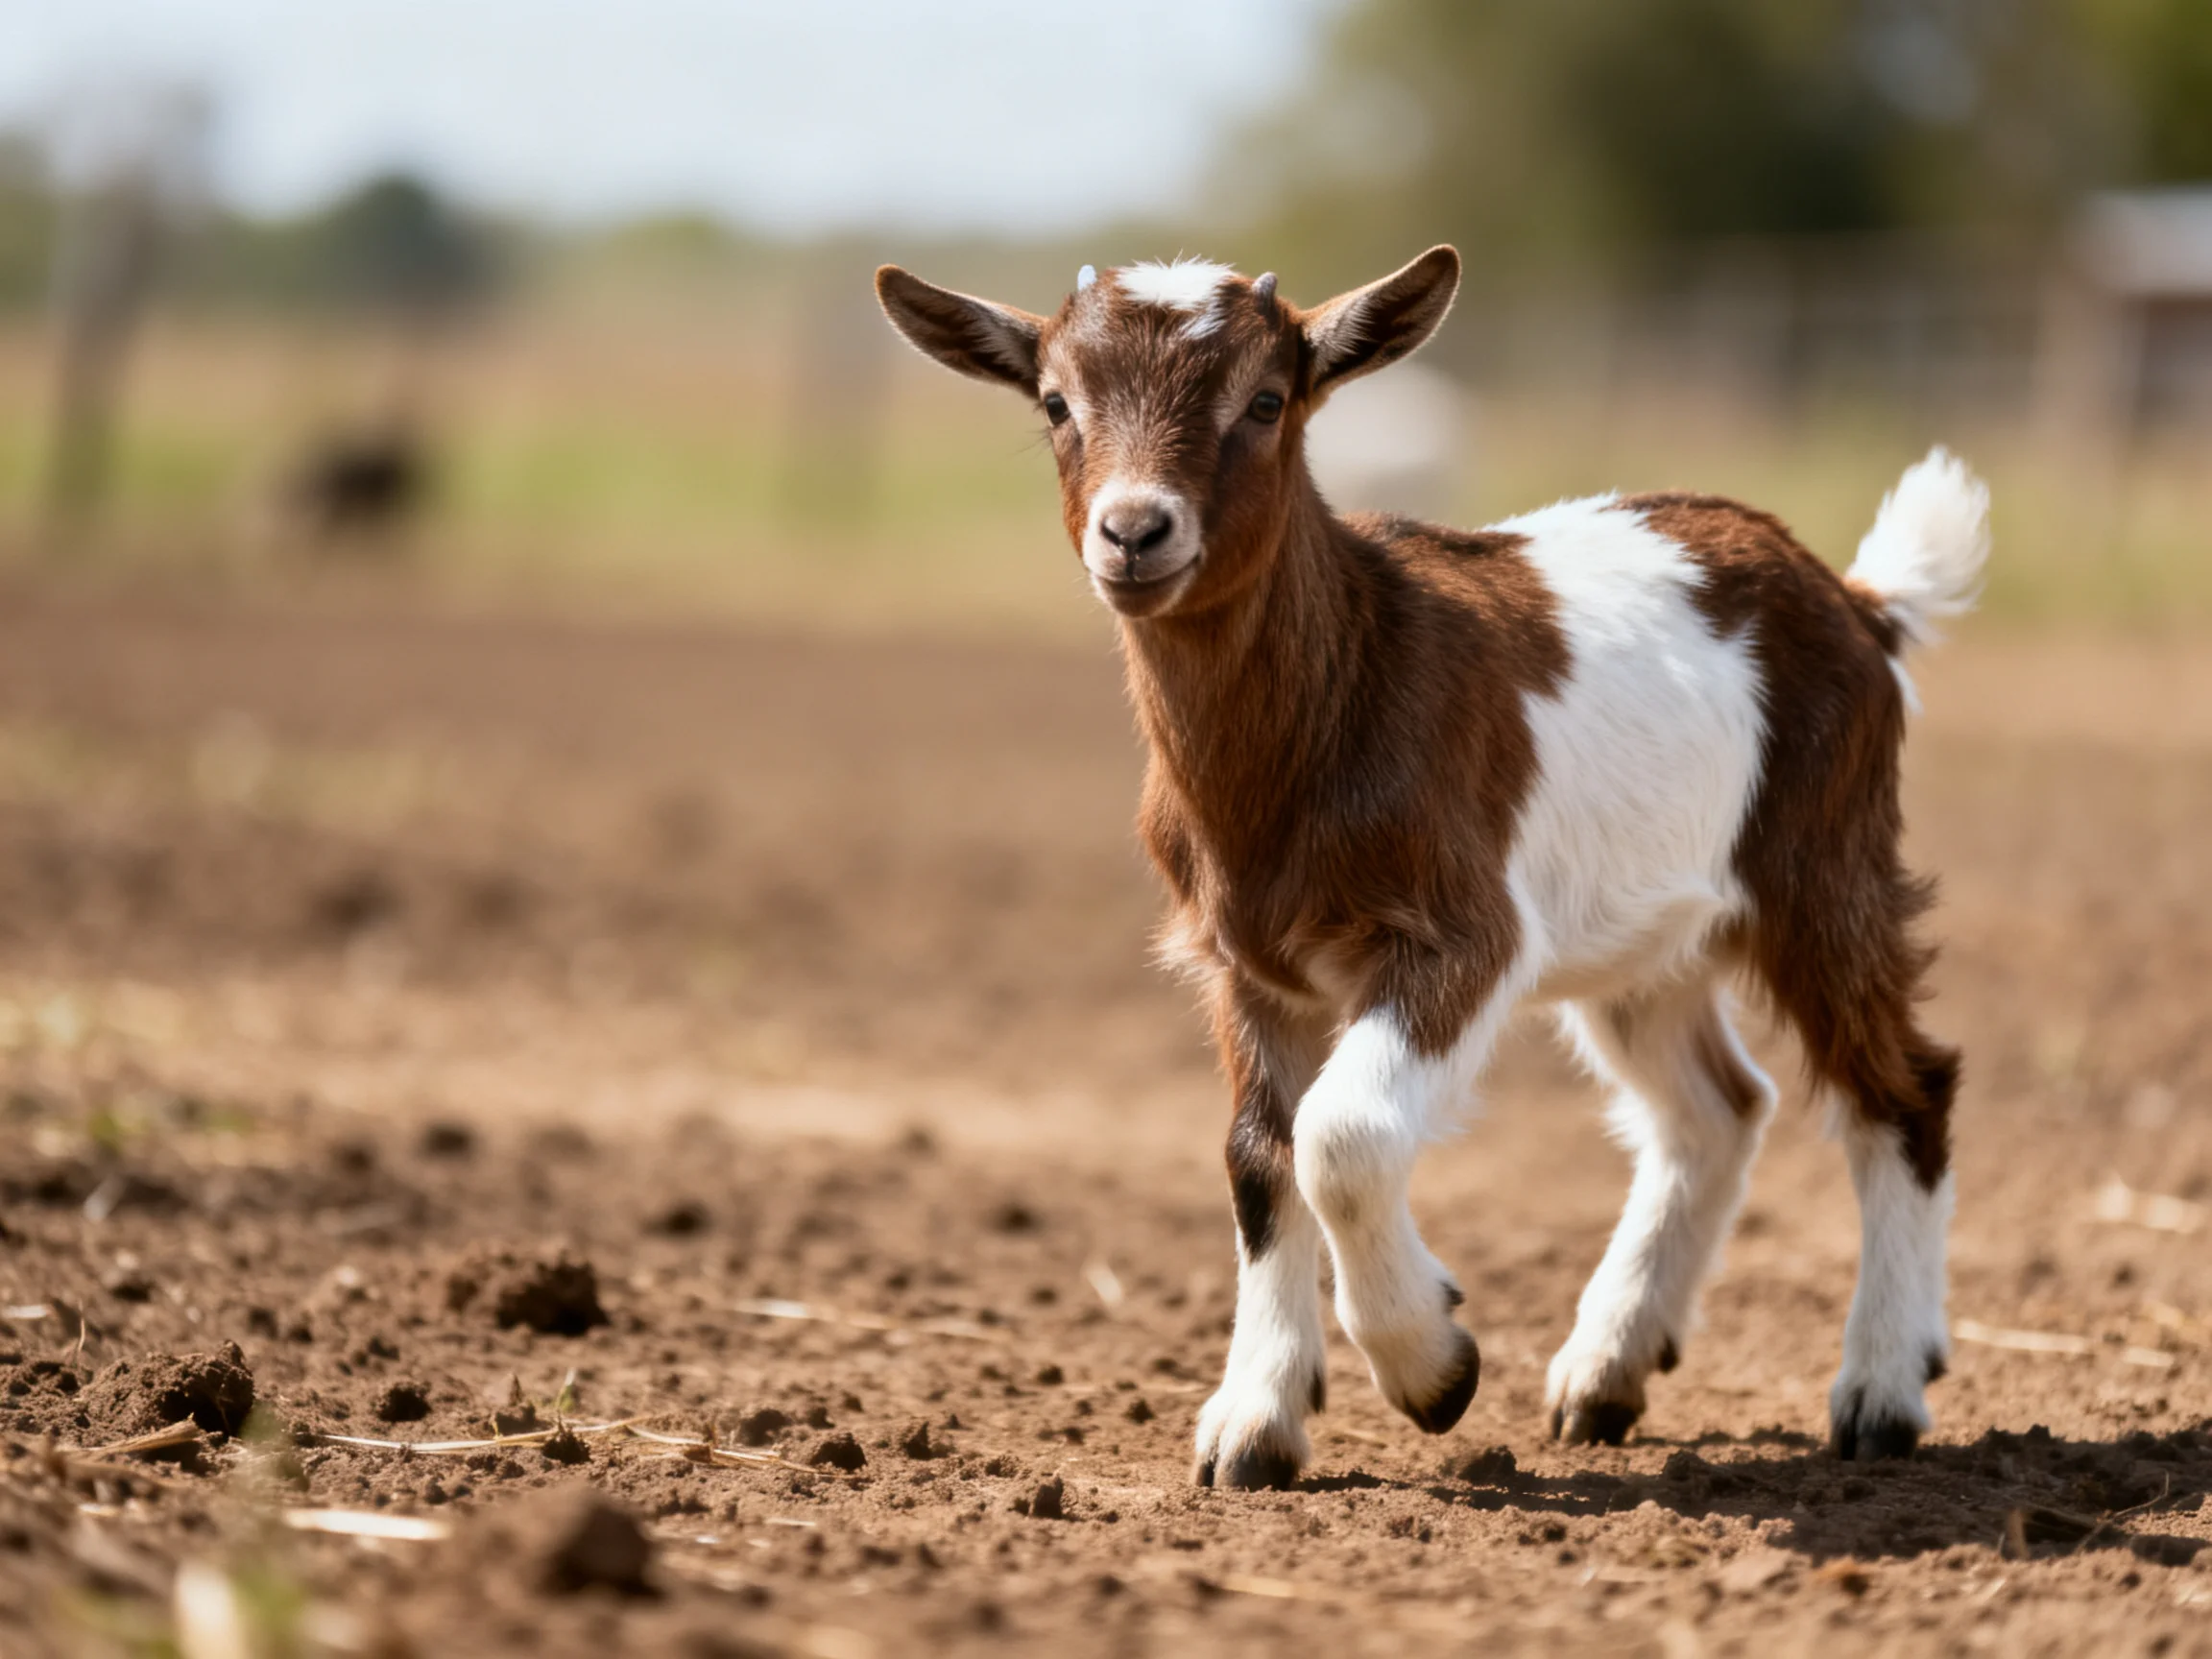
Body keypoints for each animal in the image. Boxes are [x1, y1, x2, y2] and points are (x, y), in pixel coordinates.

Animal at [875, 248, 1989, 1488]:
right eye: (1057, 405)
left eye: (1267, 400)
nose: (1133, 532)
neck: (1348, 676)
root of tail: (1858, 600)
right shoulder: (1246, 966)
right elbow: (1258, 1158)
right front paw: (1254, 1425)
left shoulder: (1462, 933)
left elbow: (1342, 1137)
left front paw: (1434, 1368)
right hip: (1645, 932)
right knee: (1715, 1109)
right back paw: (1607, 1371)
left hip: (1822, 865)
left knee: (1904, 1089)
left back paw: (1881, 1392)